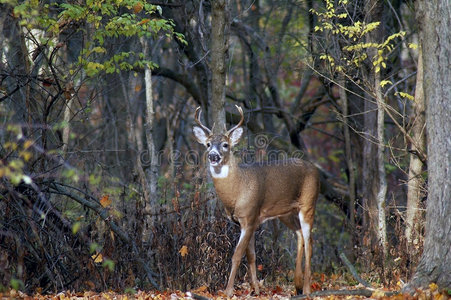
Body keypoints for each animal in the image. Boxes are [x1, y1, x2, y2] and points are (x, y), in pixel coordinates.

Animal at [192, 104, 320, 296]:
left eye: (225, 145)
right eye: (207, 144)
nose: (213, 155)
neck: (237, 190)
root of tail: (315, 169)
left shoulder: (249, 217)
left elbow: (237, 254)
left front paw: (228, 291)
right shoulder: (246, 221)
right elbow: (251, 255)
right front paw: (256, 290)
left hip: (308, 204)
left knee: (310, 242)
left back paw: (306, 289)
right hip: (285, 212)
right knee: (299, 234)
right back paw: (297, 284)